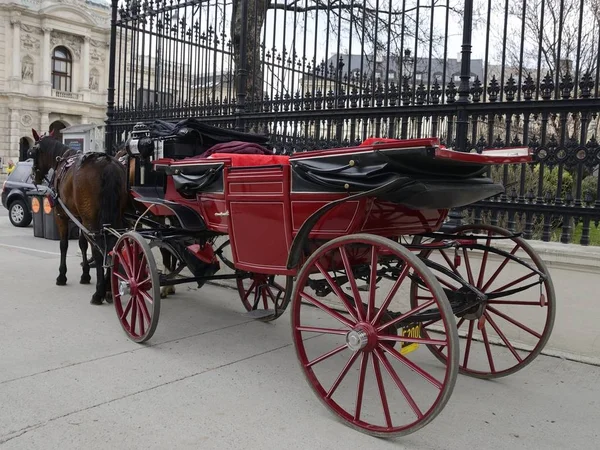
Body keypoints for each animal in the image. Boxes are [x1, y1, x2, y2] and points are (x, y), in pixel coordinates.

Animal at [27, 130, 128, 306]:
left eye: (32, 153)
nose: (34, 176)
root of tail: (107, 163)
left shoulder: (61, 215)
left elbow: (64, 245)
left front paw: (62, 276)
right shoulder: (79, 218)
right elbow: (82, 244)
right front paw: (85, 274)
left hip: (91, 220)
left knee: (98, 249)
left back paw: (99, 292)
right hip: (114, 217)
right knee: (112, 245)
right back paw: (109, 288)